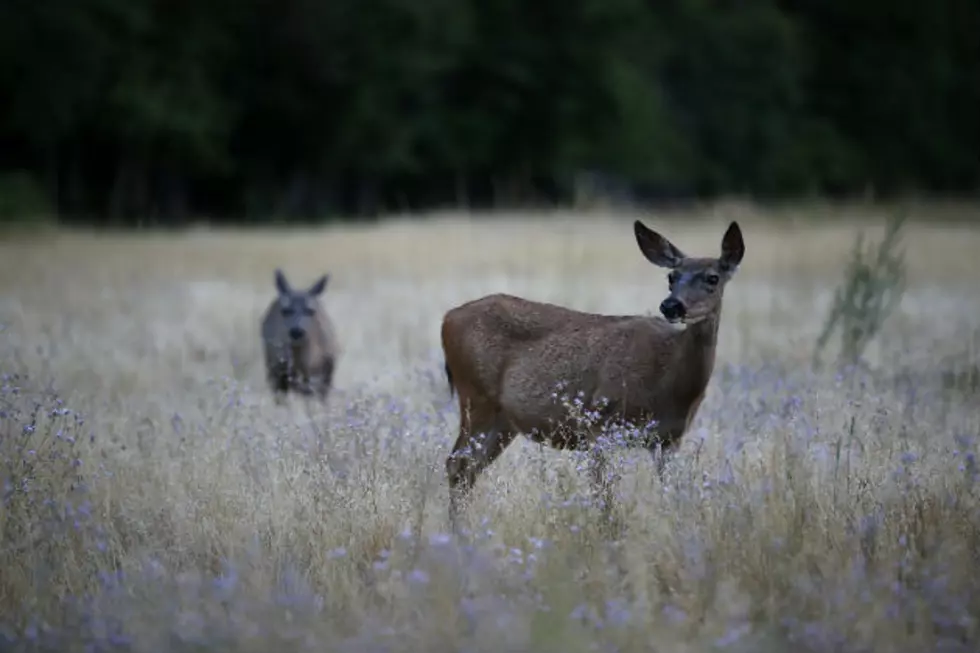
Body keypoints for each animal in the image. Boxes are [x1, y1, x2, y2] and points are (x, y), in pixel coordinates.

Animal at [438, 219, 744, 524]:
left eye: (713, 278)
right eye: (671, 277)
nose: (671, 305)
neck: (670, 380)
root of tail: (447, 318)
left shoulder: (669, 439)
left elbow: (669, 490)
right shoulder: (599, 421)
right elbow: (603, 497)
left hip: (503, 420)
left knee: (470, 468)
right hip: (475, 396)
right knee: (456, 464)